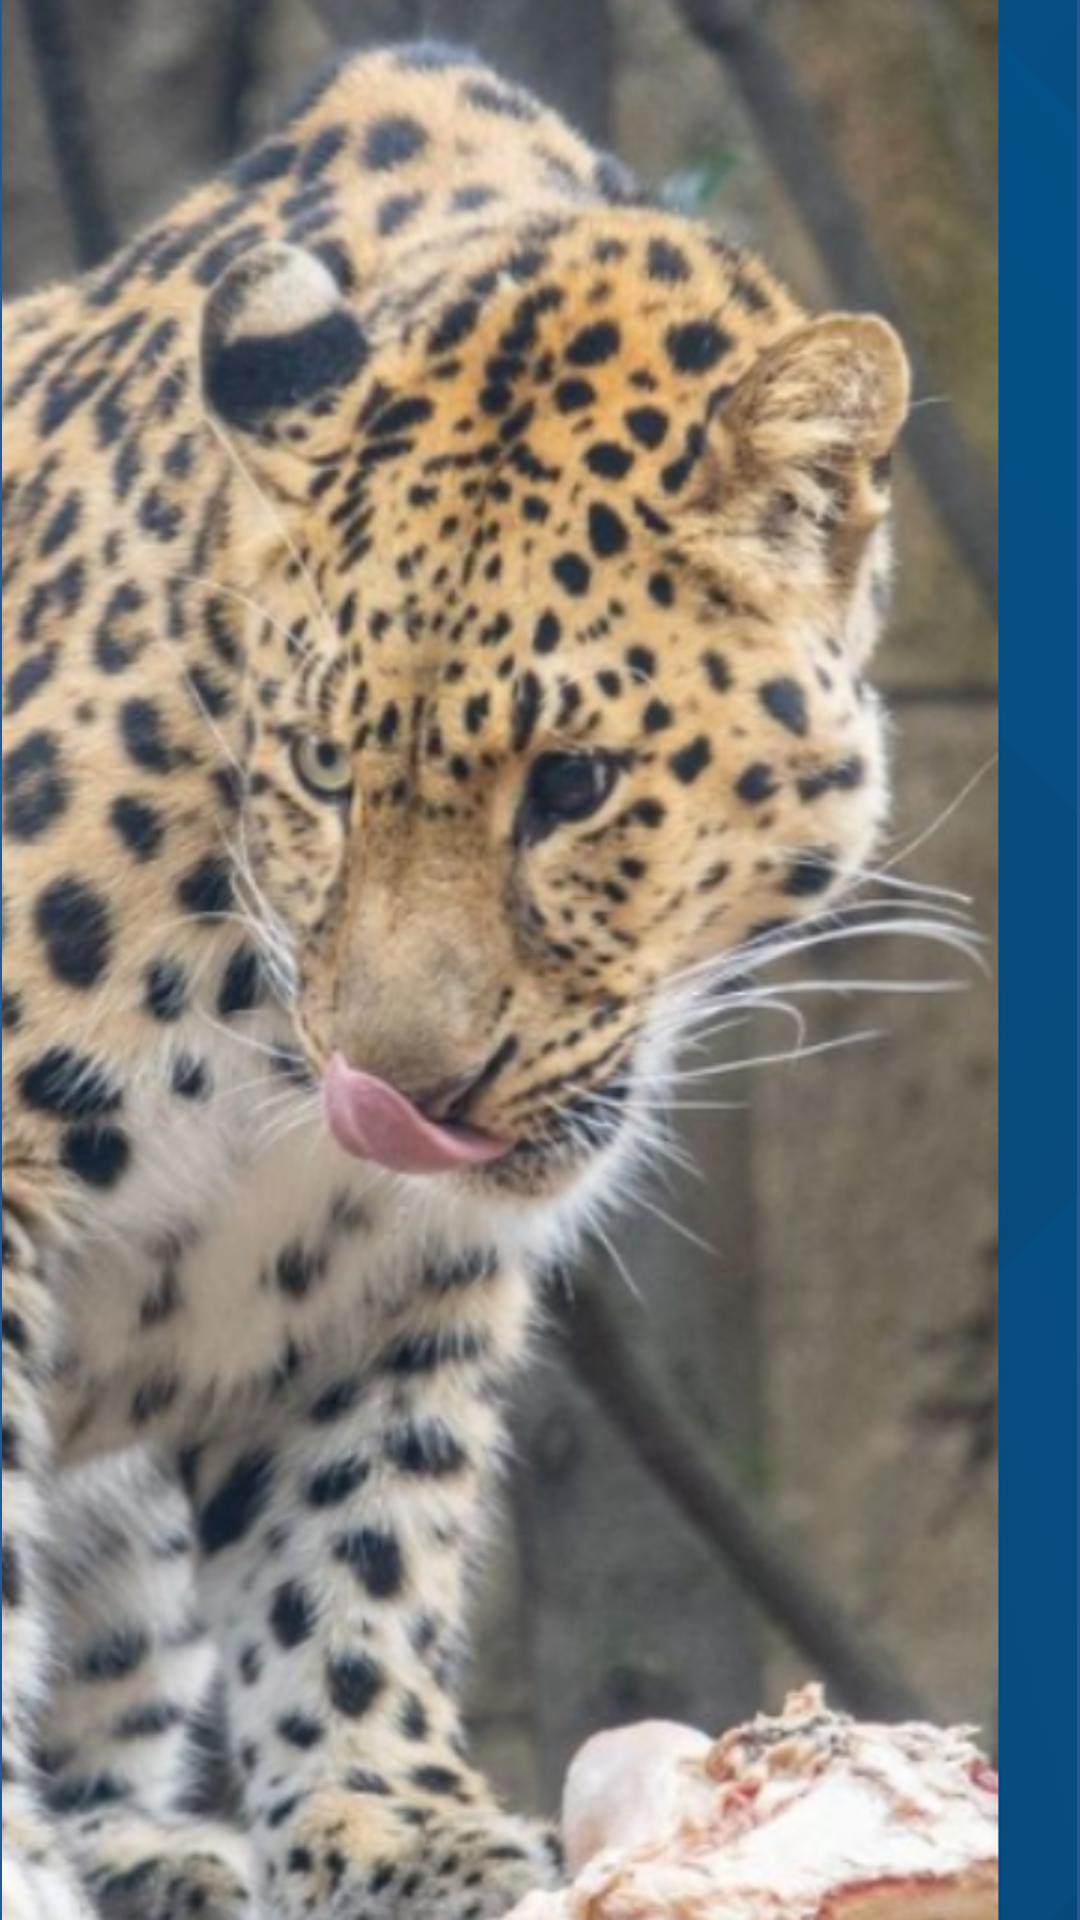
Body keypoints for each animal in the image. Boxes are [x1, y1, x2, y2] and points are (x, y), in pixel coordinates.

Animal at [1, 40, 910, 1920]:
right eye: (322, 769)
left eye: (573, 784)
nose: (395, 1097)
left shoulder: (390, 1279)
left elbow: (352, 1539)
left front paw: (391, 1825)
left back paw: (158, 1848)